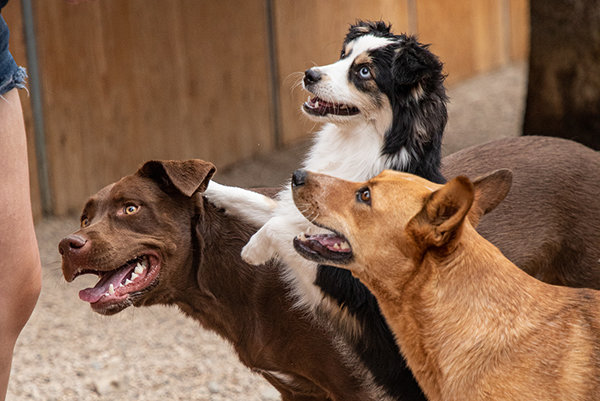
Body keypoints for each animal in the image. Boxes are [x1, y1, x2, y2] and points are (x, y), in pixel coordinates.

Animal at [205, 21, 446, 396]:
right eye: (343, 56)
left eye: (364, 72)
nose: (309, 74)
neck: (359, 148)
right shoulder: (294, 208)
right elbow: (260, 203)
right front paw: (202, 185)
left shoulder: (347, 278)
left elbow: (279, 229)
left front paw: (253, 249)